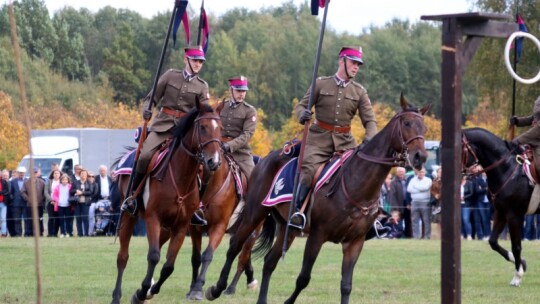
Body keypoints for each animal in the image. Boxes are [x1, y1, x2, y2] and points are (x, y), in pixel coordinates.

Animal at [110, 101, 223, 304]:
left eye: (221, 128)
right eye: (202, 127)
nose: (214, 161)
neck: (180, 176)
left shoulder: (181, 226)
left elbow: (169, 265)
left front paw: (150, 290)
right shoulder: (153, 219)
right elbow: (154, 256)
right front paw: (141, 292)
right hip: (129, 217)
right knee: (123, 256)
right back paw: (116, 296)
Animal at [205, 94, 428, 302]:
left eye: (424, 127)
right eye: (407, 123)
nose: (421, 157)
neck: (357, 184)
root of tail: (265, 159)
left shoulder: (355, 242)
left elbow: (346, 285)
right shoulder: (317, 235)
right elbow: (303, 278)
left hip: (287, 228)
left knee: (269, 262)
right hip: (254, 214)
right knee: (235, 247)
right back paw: (216, 289)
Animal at [462, 127, 532, 286]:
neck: (507, 170)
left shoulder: (514, 215)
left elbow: (516, 246)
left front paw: (517, 276)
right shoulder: (501, 212)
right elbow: (493, 241)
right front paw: (522, 264)